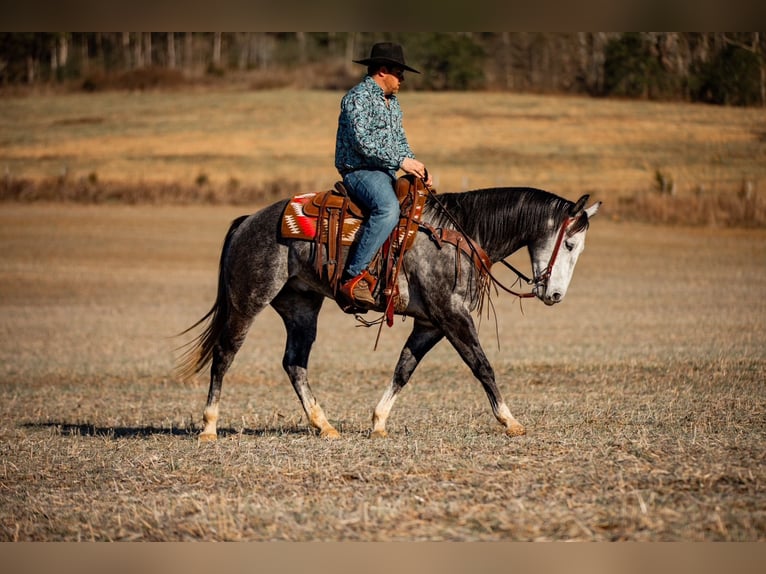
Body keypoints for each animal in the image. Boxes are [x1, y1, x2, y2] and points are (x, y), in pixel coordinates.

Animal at [177, 185, 600, 440]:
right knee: (224, 354)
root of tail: (247, 221)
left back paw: (324, 425)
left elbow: (404, 368)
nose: (555, 294)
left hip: (301, 307)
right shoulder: (452, 315)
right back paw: (209, 427)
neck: (457, 236)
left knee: (294, 363)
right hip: (248, 299)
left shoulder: (430, 322)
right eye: (570, 244)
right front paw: (510, 421)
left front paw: (379, 422)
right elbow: (482, 365)